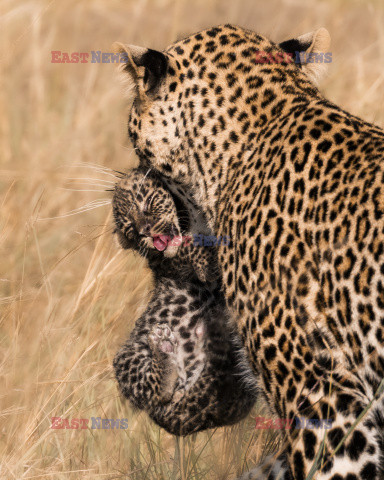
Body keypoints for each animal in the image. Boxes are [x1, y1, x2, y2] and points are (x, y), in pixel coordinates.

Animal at [112, 167, 256, 436]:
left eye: (148, 202)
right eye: (131, 230)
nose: (146, 230)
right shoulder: (175, 265)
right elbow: (191, 252)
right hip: (128, 356)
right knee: (157, 391)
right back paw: (163, 351)